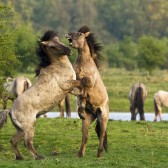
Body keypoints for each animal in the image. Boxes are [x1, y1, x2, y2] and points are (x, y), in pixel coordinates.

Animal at [0, 30, 82, 160]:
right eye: (52, 46)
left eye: (59, 40)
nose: (69, 51)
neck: (58, 67)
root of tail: (10, 111)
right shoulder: (66, 84)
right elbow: (80, 81)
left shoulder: (69, 89)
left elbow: (78, 89)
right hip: (30, 126)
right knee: (27, 143)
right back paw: (39, 157)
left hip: (21, 129)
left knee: (13, 141)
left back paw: (20, 157)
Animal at [65, 25, 109, 158]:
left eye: (79, 34)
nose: (68, 34)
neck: (84, 64)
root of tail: (95, 113)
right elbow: (76, 87)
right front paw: (80, 107)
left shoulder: (90, 81)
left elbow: (84, 84)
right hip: (88, 121)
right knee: (85, 136)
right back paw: (80, 153)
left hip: (103, 117)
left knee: (102, 134)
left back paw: (100, 153)